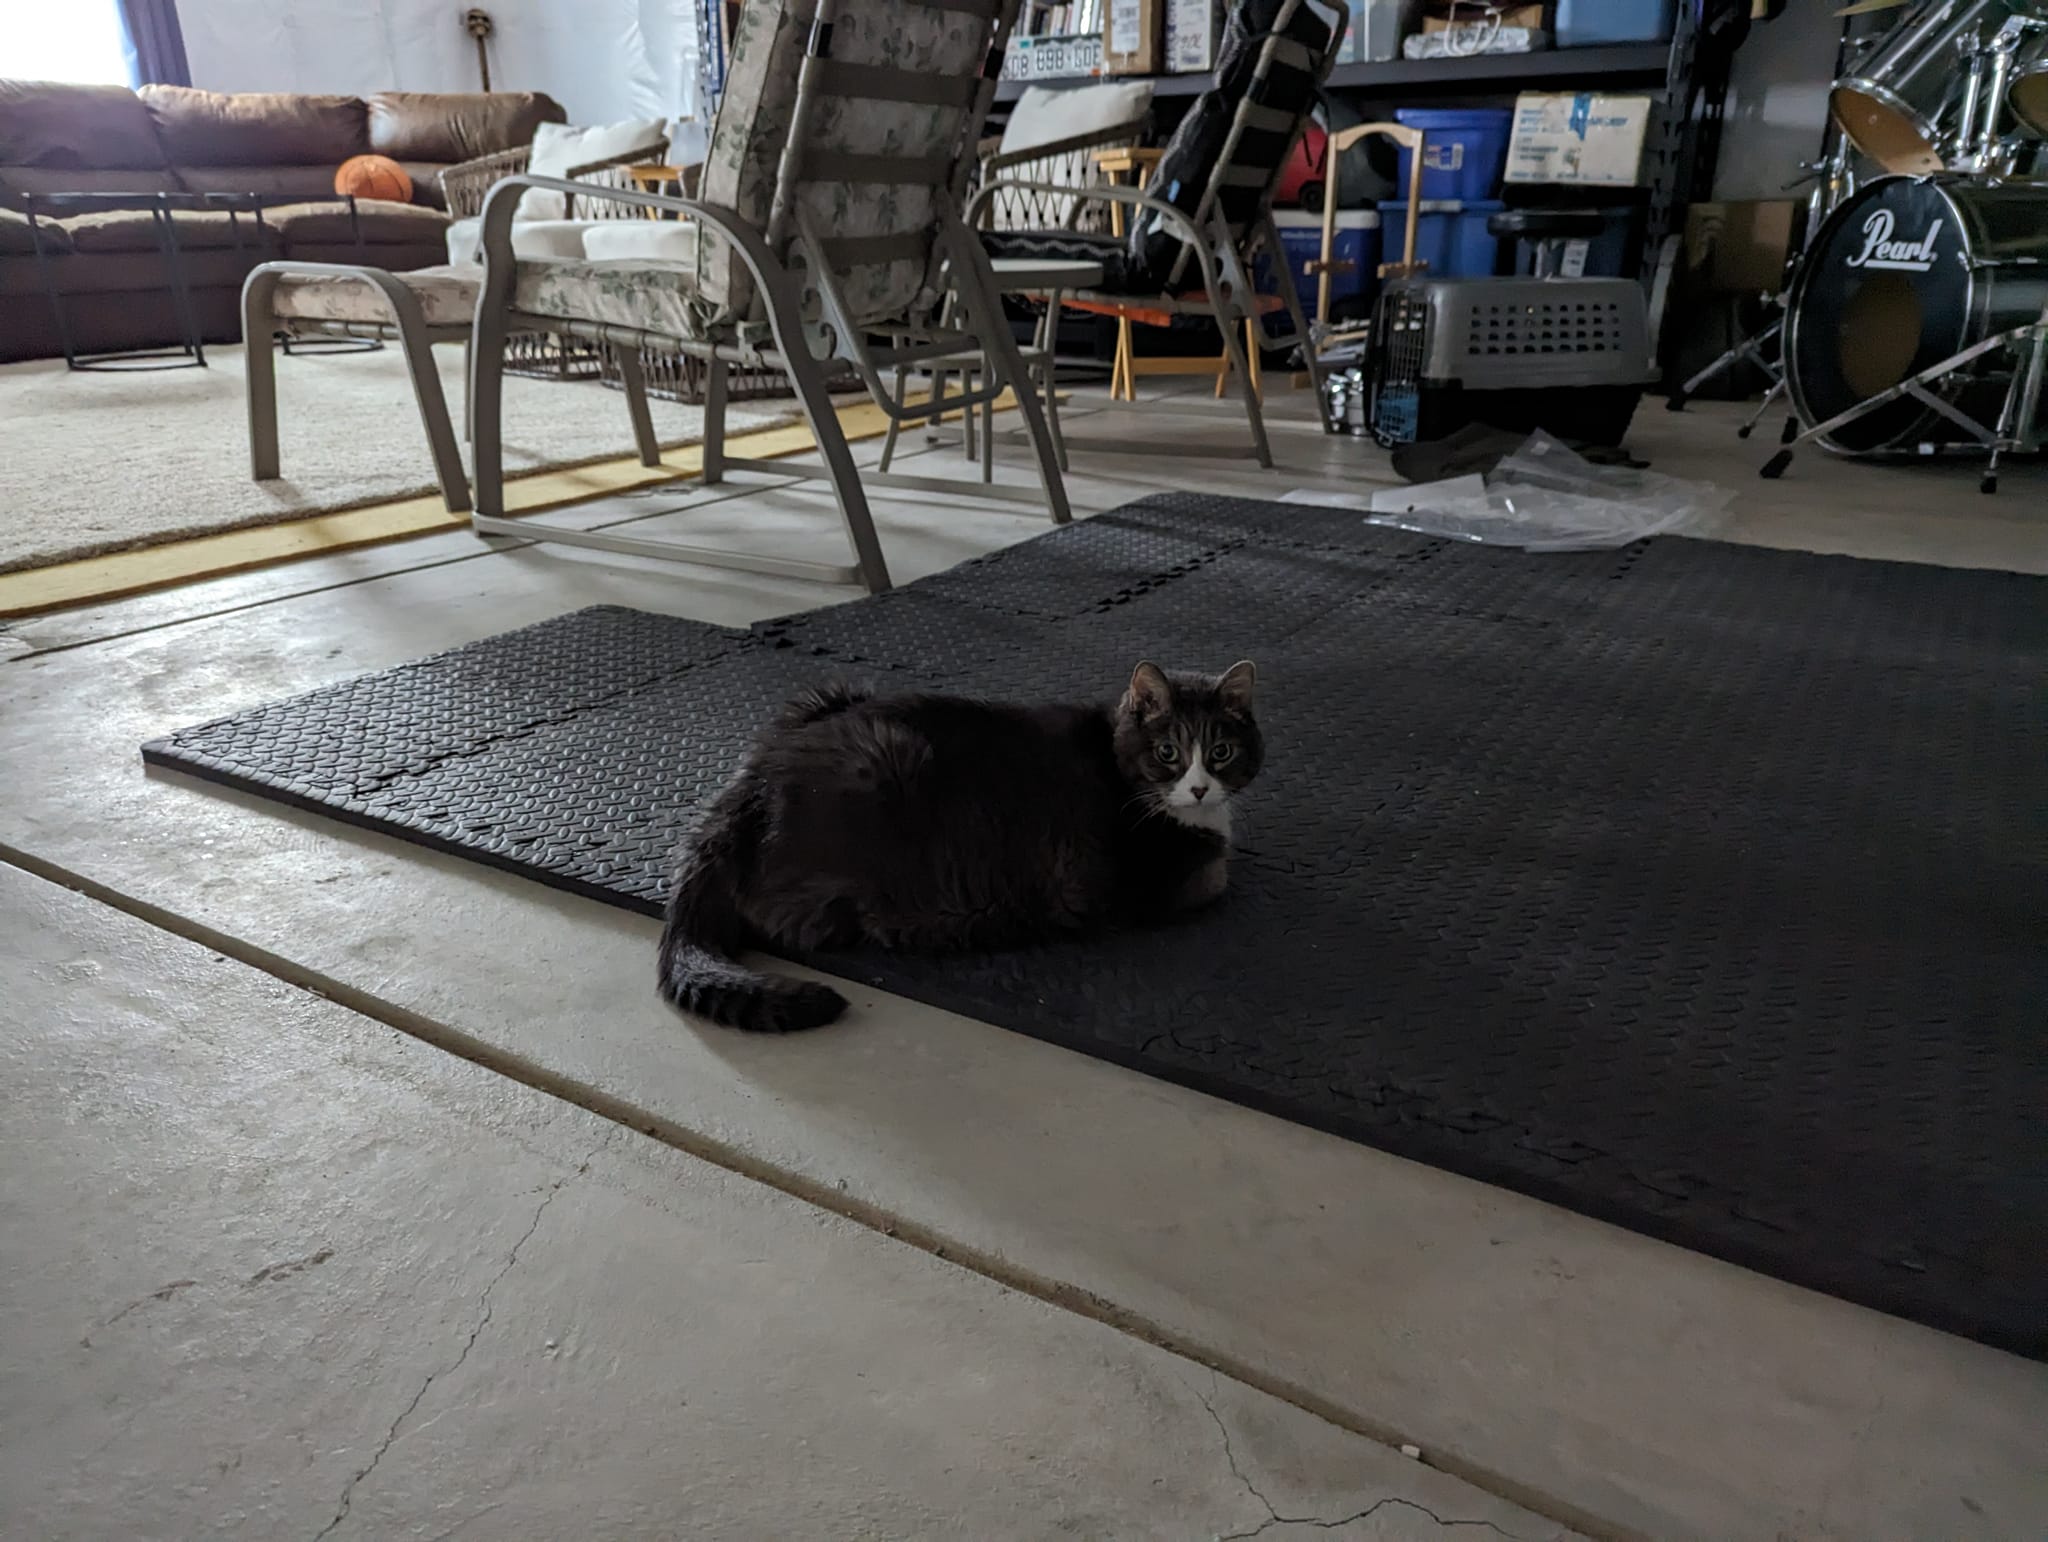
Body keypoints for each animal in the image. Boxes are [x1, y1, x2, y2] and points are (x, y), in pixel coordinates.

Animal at [656, 659, 1263, 1032]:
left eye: (1223, 752)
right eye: (1167, 752)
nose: (1200, 787)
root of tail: (742, 794)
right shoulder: (1157, 881)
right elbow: (1216, 876)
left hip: (827, 693)